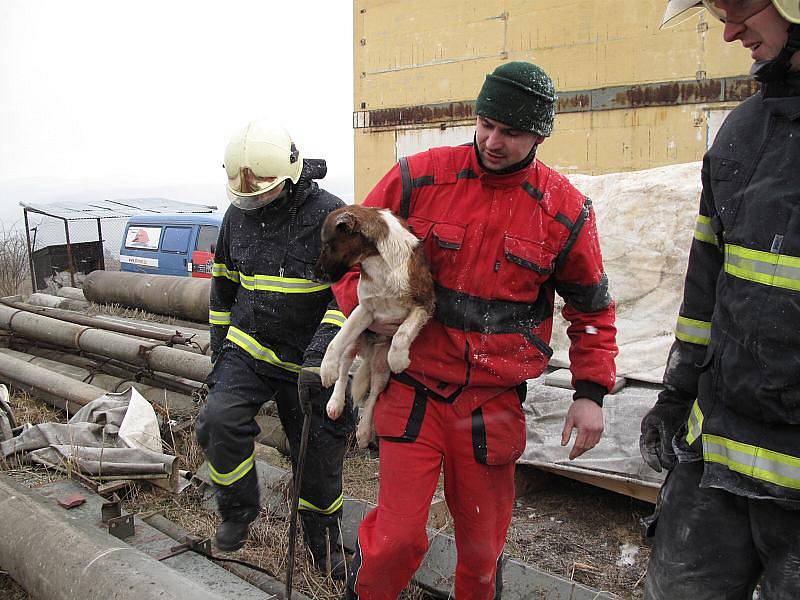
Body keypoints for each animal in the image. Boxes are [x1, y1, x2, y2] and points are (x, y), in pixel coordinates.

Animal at [316, 205, 434, 446]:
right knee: (344, 370)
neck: (379, 260)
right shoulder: (364, 310)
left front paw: (399, 359)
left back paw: (363, 431)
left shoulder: (424, 304)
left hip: (381, 366)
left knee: (375, 393)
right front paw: (326, 368)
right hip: (354, 344)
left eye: (327, 244)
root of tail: (369, 353)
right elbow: (335, 342)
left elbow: (401, 334)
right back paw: (335, 402)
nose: (315, 273)